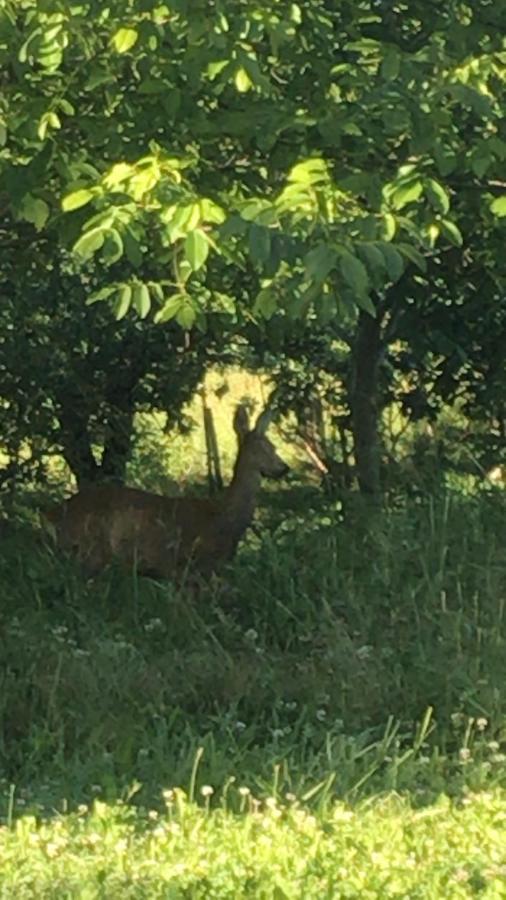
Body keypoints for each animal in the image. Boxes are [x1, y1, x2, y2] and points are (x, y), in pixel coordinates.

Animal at [44, 400, 288, 576]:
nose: (284, 468)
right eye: (262, 449)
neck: (222, 518)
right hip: (89, 549)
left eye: (274, 447)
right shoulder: (189, 566)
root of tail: (50, 515)